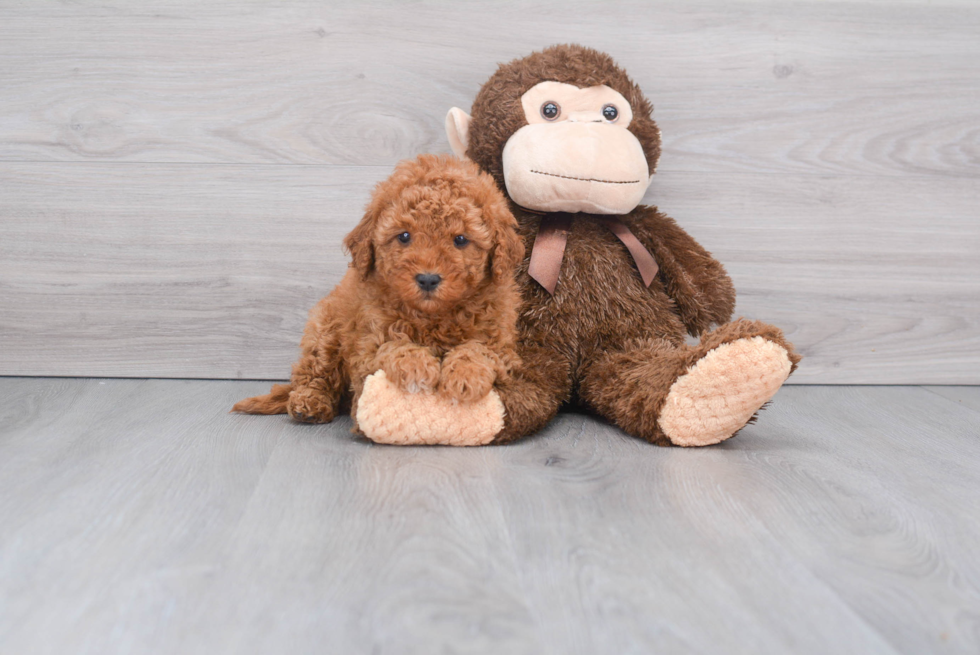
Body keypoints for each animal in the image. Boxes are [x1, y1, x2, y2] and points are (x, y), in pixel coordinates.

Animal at [233, 154, 524, 436]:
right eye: (404, 236)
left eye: (461, 240)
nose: (428, 279)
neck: (433, 317)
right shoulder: (366, 345)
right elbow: (392, 344)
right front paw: (416, 364)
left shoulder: (502, 345)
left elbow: (479, 349)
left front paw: (466, 375)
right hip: (324, 328)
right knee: (314, 371)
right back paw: (309, 403)